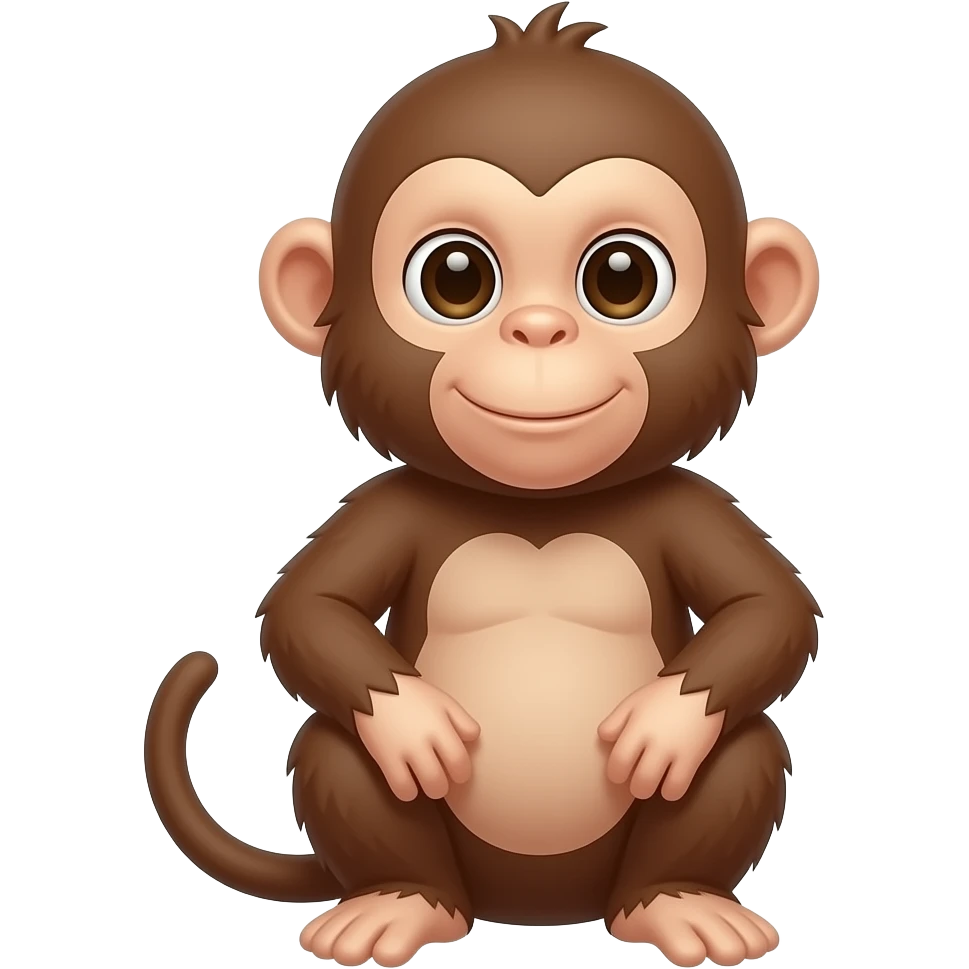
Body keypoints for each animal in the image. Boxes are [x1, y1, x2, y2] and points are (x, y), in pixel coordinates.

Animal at [144, 4, 823, 967]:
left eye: (622, 278)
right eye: (454, 278)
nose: (536, 329)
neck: (535, 508)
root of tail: (534, 906)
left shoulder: (693, 505)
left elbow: (770, 611)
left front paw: (661, 724)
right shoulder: (385, 504)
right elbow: (308, 610)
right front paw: (415, 726)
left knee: (743, 742)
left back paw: (679, 901)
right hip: (407, 825)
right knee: (337, 745)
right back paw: (397, 902)